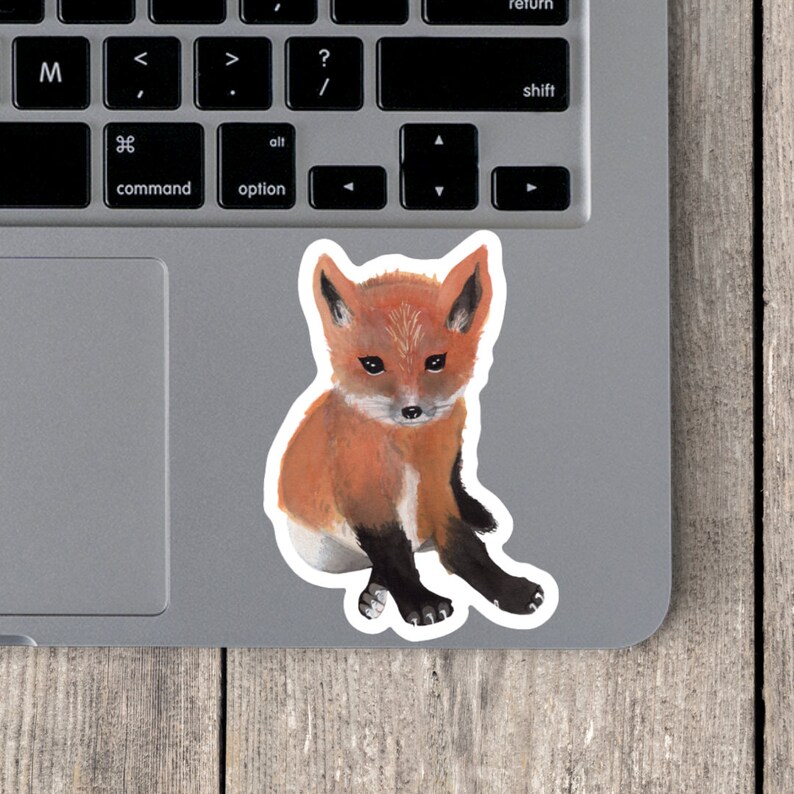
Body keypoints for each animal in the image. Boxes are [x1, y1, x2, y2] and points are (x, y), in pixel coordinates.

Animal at [273, 238, 546, 628]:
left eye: (435, 362)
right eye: (372, 364)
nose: (411, 410)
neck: (407, 451)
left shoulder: (438, 487)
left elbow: (465, 548)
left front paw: (508, 590)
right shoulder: (365, 496)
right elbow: (393, 554)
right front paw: (420, 603)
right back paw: (374, 592)